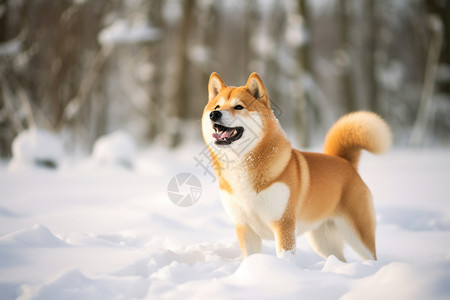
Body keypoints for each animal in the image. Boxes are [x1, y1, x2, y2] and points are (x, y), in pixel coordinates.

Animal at [202, 71, 392, 262]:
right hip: (322, 241)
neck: (242, 165)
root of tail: (345, 162)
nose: (214, 114)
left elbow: (284, 256)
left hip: (357, 235)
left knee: (371, 256)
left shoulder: (283, 224)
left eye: (238, 107)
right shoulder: (245, 228)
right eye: (217, 106)